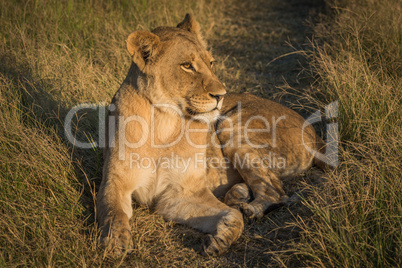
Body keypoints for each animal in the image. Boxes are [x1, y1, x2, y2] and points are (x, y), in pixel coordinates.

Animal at [97, 13, 326, 256]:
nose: (221, 95)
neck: (165, 122)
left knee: (276, 192)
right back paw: (239, 194)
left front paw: (221, 239)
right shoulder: (116, 181)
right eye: (187, 66)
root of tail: (312, 129)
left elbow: (234, 218)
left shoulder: (181, 192)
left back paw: (249, 209)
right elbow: (113, 211)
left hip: (230, 125)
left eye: (211, 62)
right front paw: (116, 242)